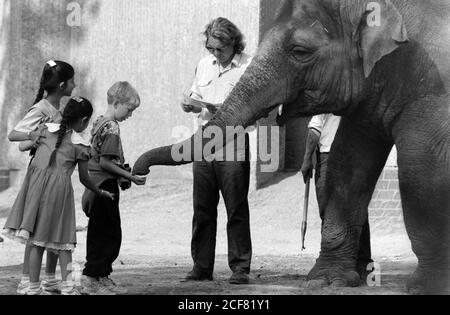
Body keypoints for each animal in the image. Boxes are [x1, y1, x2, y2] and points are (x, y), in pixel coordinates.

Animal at [135, 0, 450, 296]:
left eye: (299, 51)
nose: (139, 172)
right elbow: (347, 163)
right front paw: (327, 281)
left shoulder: (431, 90)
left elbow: (421, 169)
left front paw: (427, 285)